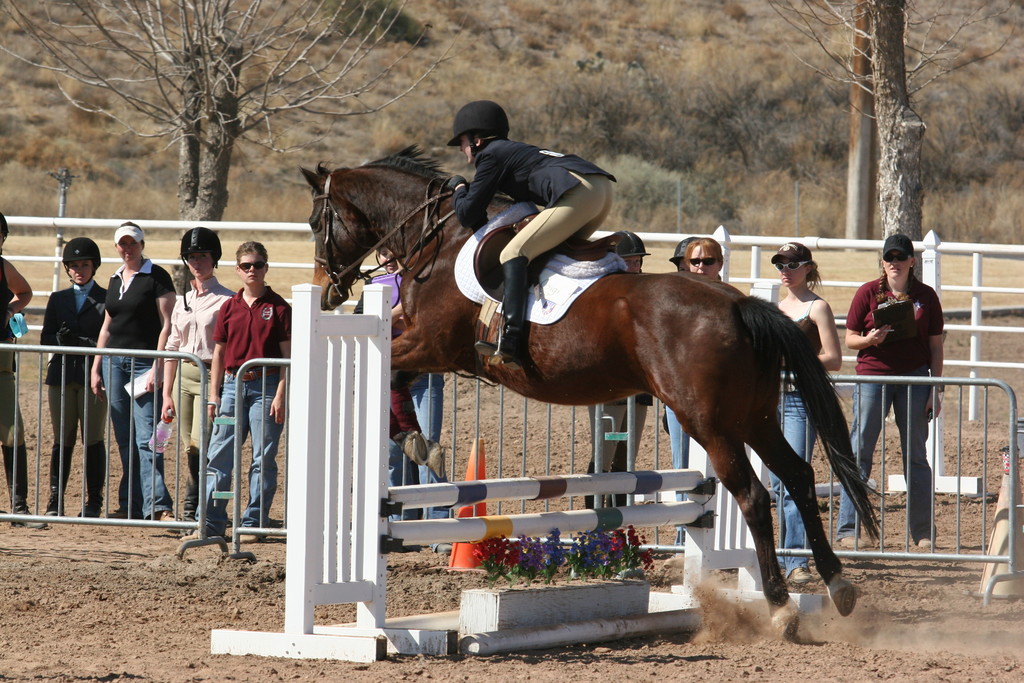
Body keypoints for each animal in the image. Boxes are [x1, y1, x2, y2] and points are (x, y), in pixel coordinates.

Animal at [299, 145, 880, 643]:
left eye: (315, 223)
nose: (327, 290)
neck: (436, 241)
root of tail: (738, 304)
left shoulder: (432, 344)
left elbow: (395, 372)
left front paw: (416, 440)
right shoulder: (420, 339)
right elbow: (393, 373)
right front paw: (417, 440)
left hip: (709, 422)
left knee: (755, 496)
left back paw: (781, 608)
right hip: (752, 415)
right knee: (798, 476)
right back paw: (838, 586)